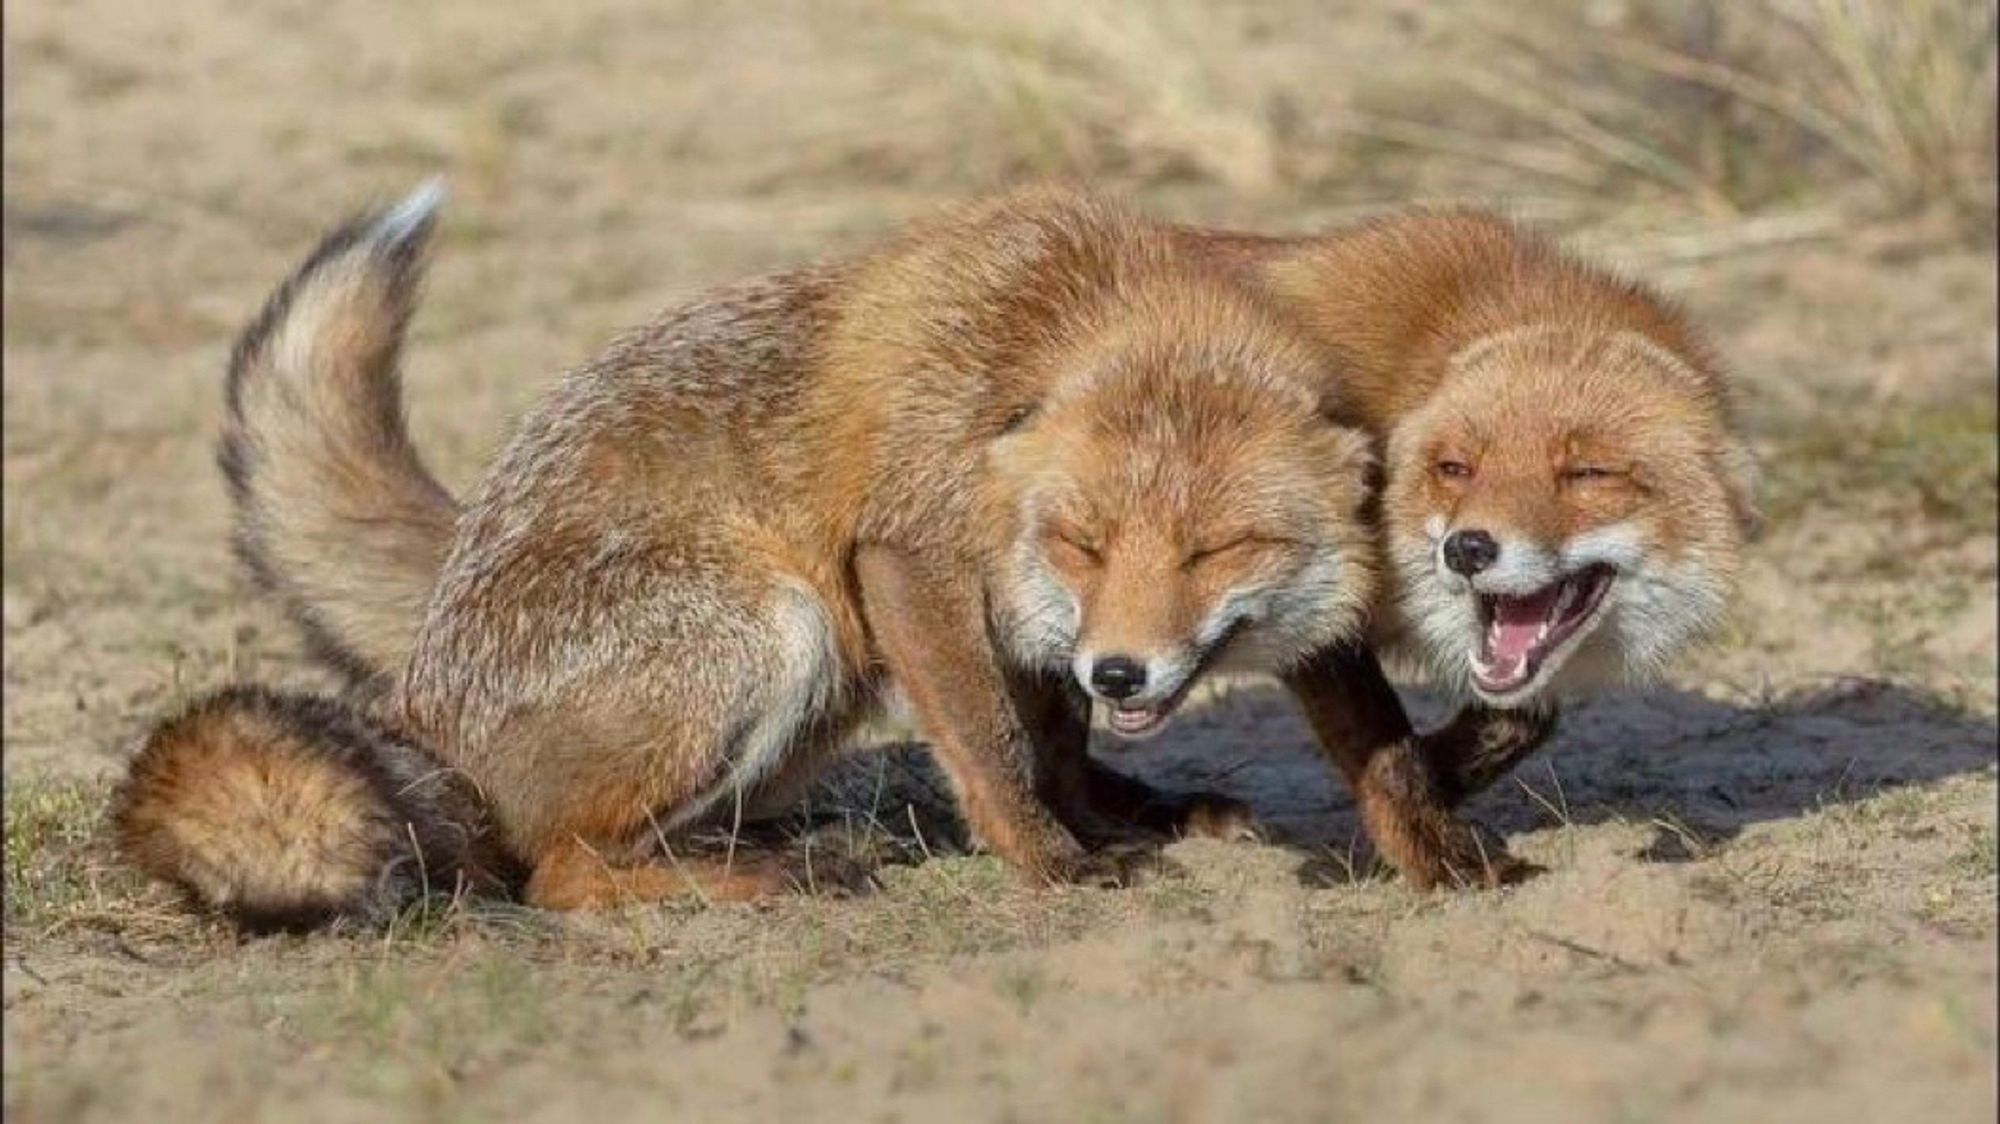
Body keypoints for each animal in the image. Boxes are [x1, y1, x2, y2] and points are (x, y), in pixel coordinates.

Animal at [113, 182, 1528, 920]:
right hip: (775, 620)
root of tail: (424, 694)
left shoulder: (1026, 617)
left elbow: (1099, 737)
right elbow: (996, 746)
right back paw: (766, 874)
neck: (1062, 310)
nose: (1124, 672)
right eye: (1081, 541)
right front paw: (1052, 865)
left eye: (1217, 546)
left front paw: (1433, 853)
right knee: (554, 869)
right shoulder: (909, 555)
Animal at [1176, 208, 1760, 796]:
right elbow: (1388, 754)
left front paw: (1445, 770)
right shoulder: (1309, 610)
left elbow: (1521, 717)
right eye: (1456, 469)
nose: (1467, 549)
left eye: (1587, 473)